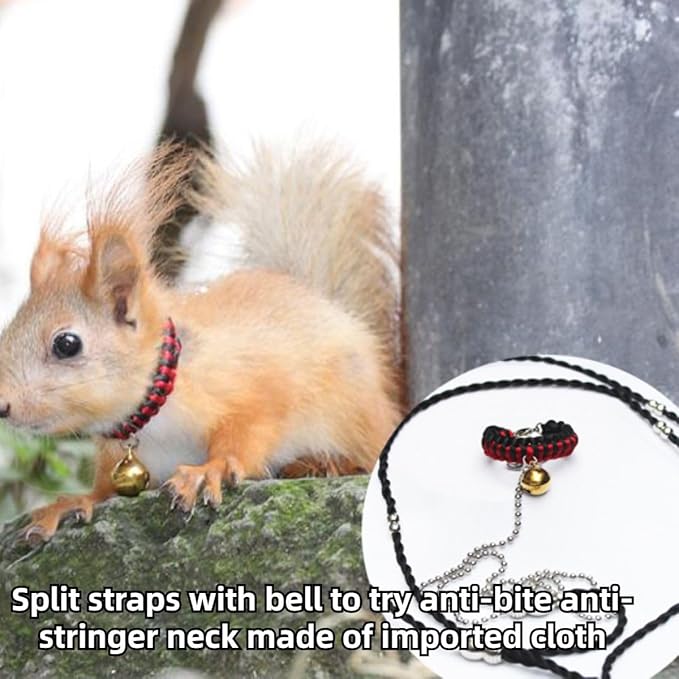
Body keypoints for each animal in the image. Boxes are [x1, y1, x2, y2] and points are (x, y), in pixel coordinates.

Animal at [0, 142, 402, 542]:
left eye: (67, 344)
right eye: (8, 329)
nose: (2, 405)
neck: (152, 419)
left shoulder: (254, 391)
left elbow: (247, 434)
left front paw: (209, 470)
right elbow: (105, 489)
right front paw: (75, 501)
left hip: (357, 413)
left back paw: (323, 461)